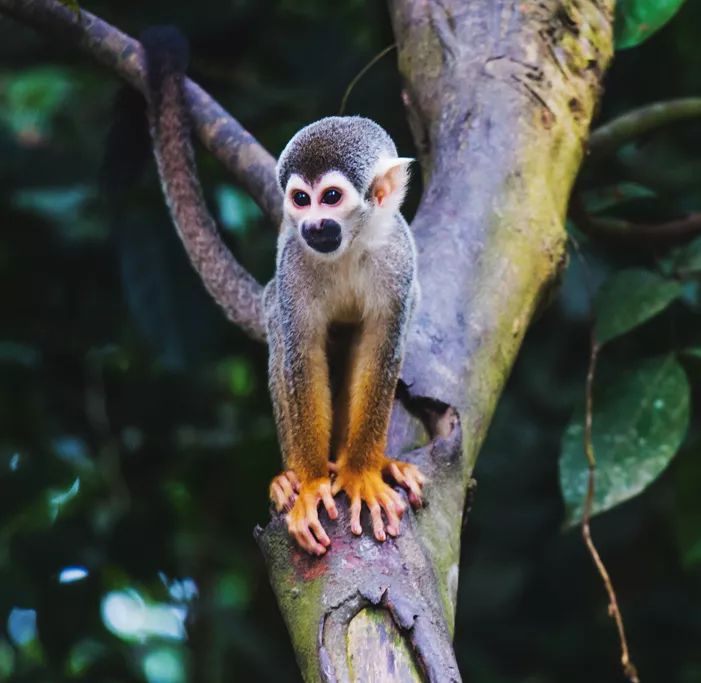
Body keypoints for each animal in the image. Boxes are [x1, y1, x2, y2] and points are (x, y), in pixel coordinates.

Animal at [266, 119, 424, 556]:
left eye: (331, 197)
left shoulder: (399, 257)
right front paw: (313, 484)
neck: (350, 246)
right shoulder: (293, 263)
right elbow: (302, 356)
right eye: (302, 199)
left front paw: (361, 475)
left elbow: (381, 349)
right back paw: (290, 478)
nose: (313, 224)